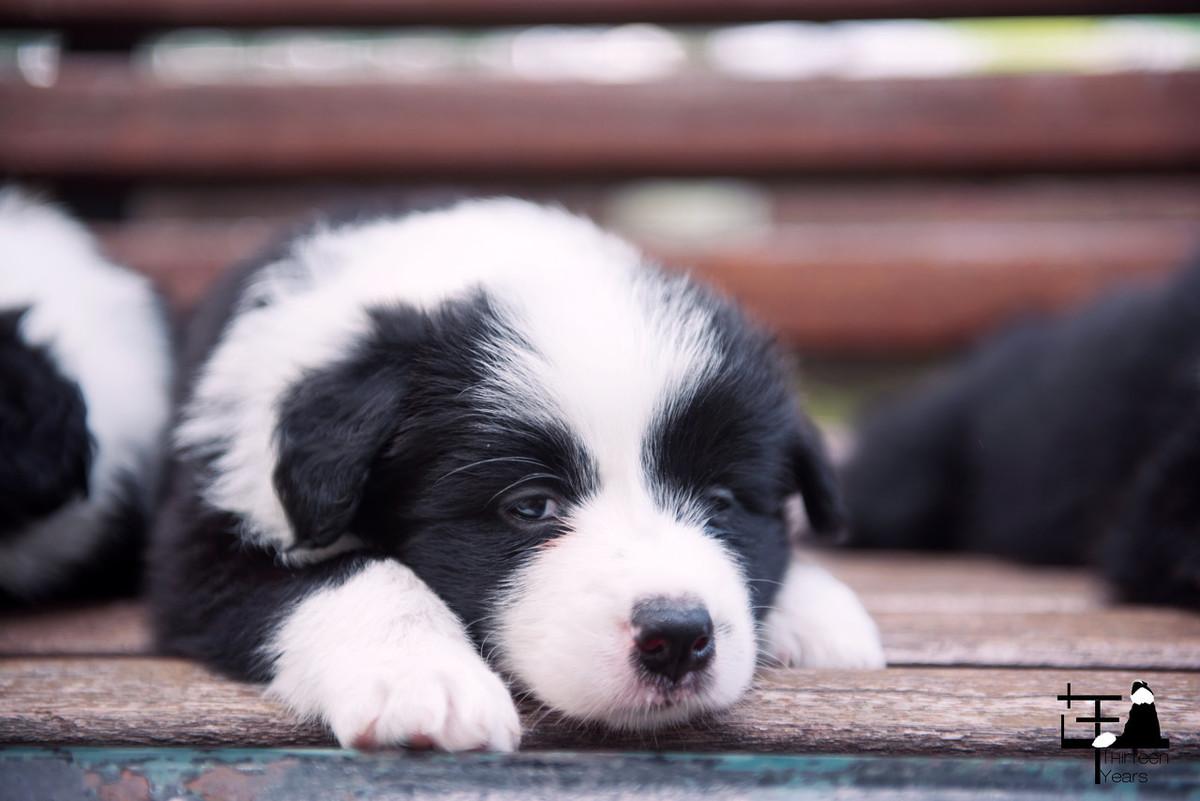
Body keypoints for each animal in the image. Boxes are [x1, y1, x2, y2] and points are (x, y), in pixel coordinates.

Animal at [150, 199, 883, 753]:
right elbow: (351, 574)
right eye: (531, 506)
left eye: (722, 500)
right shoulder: (208, 540)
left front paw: (818, 612)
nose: (676, 637)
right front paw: (424, 679)